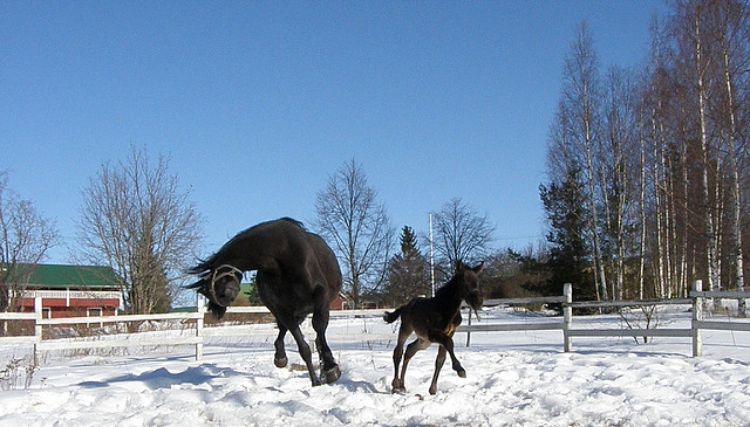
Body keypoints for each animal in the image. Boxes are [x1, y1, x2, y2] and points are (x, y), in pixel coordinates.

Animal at [188, 219, 344, 386]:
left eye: (213, 291)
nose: (215, 311)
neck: (281, 256)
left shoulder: (320, 298)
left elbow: (319, 328)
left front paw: (330, 368)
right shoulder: (283, 310)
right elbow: (303, 347)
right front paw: (315, 381)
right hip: (293, 312)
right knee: (283, 331)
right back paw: (281, 357)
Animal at [384, 262, 484, 396]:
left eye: (477, 281)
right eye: (463, 280)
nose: (478, 301)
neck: (446, 308)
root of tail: (406, 306)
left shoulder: (449, 333)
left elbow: (440, 359)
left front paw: (433, 389)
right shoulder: (433, 333)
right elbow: (449, 343)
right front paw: (460, 369)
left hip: (424, 341)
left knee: (410, 350)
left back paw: (402, 385)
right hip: (406, 328)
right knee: (398, 352)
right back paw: (395, 385)